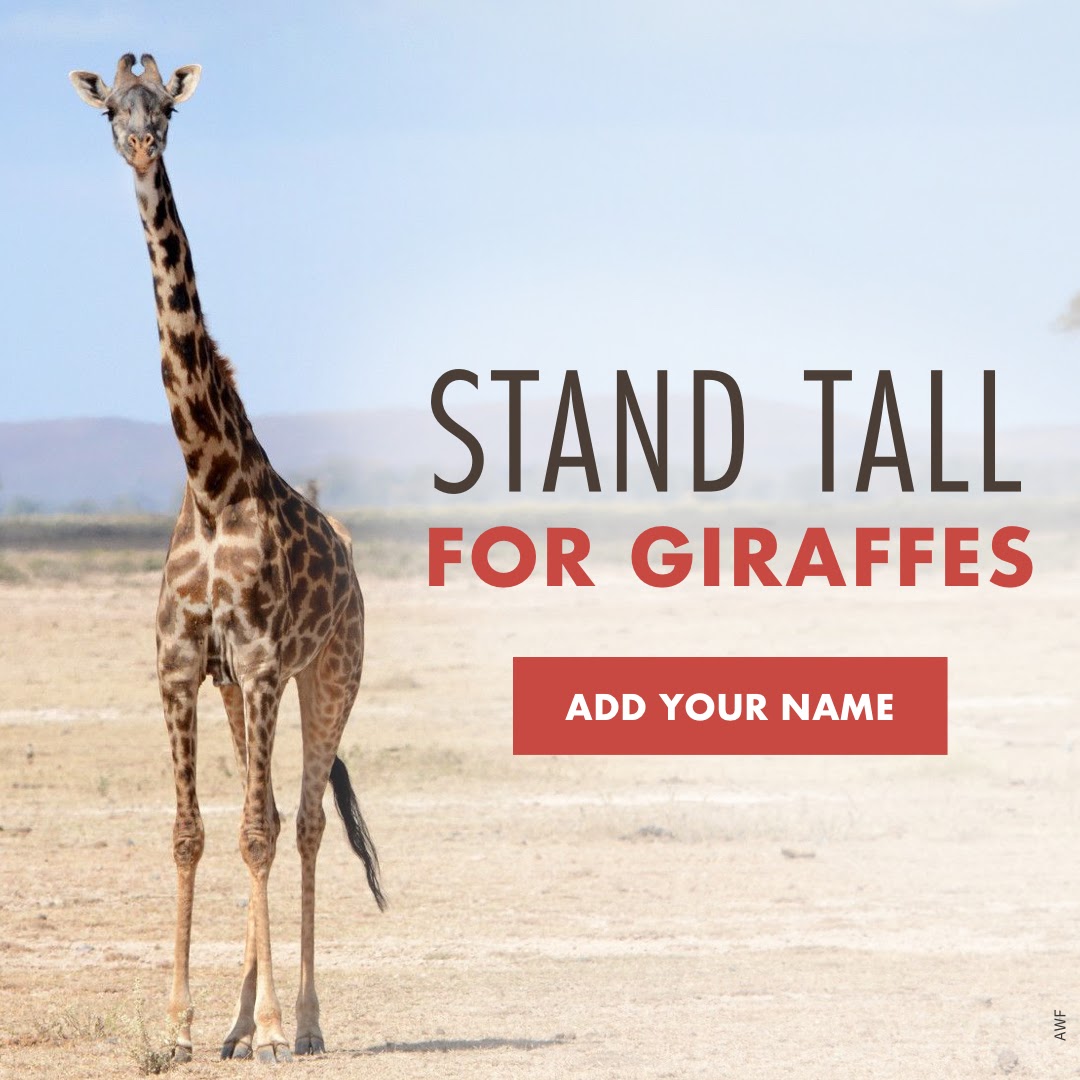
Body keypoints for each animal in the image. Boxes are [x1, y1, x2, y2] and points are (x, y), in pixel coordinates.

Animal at [70, 54, 386, 1064]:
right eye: (111, 108)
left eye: (165, 107)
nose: (141, 145)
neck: (209, 482)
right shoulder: (183, 664)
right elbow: (191, 833)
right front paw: (179, 1027)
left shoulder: (259, 658)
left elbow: (255, 832)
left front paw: (281, 1027)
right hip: (248, 690)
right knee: (279, 814)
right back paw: (241, 1024)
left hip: (331, 670)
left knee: (308, 821)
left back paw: (305, 1022)